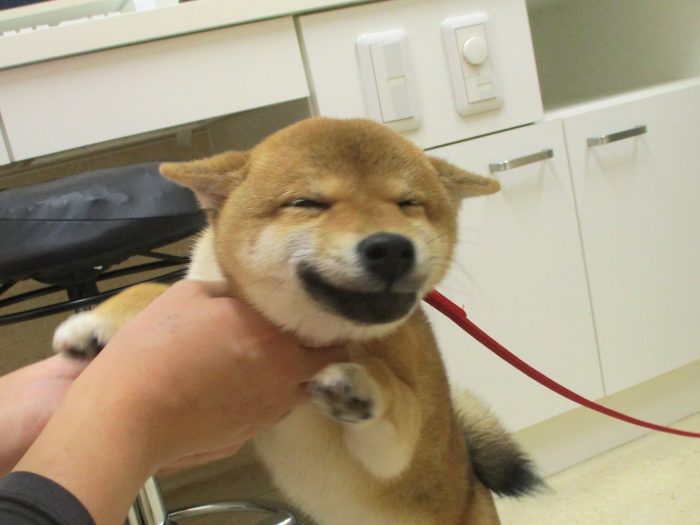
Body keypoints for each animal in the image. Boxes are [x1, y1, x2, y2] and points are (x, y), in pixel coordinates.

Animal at [53, 117, 541, 524]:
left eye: (408, 203)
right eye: (307, 203)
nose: (391, 248)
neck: (303, 332)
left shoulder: (396, 448)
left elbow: (394, 394)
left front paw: (359, 384)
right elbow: (153, 291)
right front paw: (96, 323)